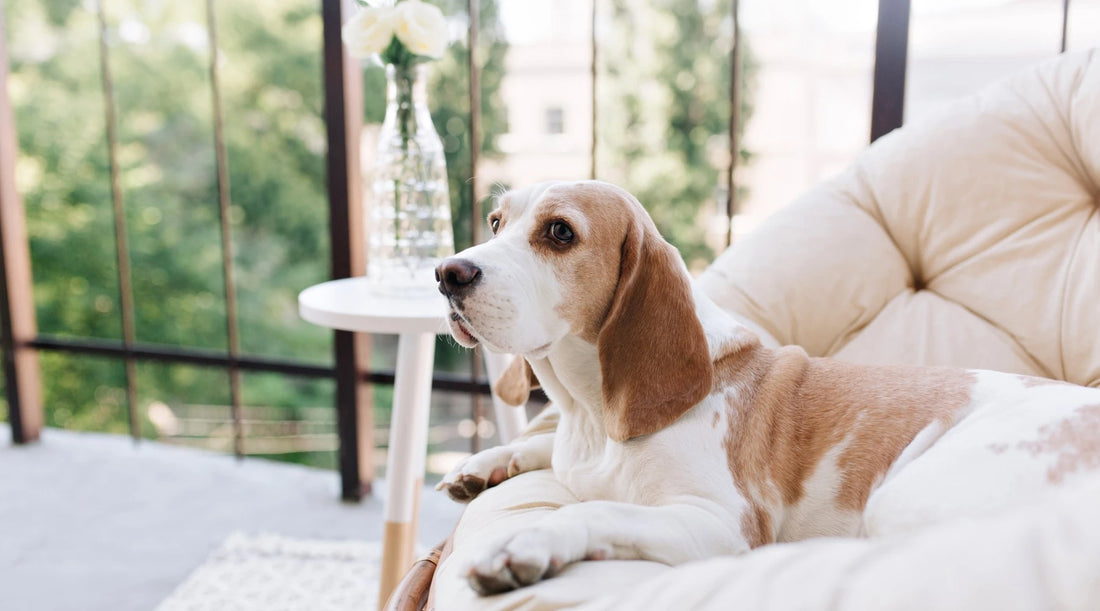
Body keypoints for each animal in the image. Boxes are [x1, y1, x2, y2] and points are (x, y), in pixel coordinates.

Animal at [433, 179, 1095, 594]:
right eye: (496, 221)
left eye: (560, 233)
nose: (446, 272)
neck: (593, 415)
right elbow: (547, 450)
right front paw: (488, 462)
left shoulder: (720, 525)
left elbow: (598, 511)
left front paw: (531, 539)